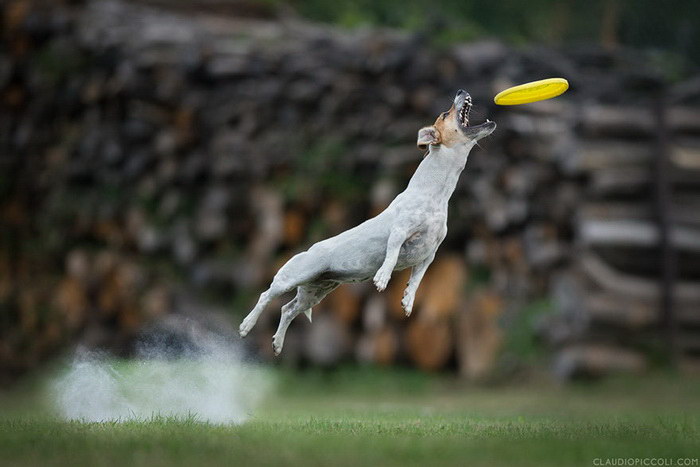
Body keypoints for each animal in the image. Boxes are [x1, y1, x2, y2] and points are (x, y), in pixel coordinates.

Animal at [241, 90, 498, 354]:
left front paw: (408, 300)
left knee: (288, 309)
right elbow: (392, 254)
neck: (434, 195)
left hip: (314, 292)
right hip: (292, 277)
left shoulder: (429, 254)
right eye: (445, 114)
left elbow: (417, 279)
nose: (461, 92)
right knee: (266, 296)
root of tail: (309, 251)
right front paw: (383, 278)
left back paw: (277, 343)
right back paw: (246, 325)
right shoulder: (400, 232)